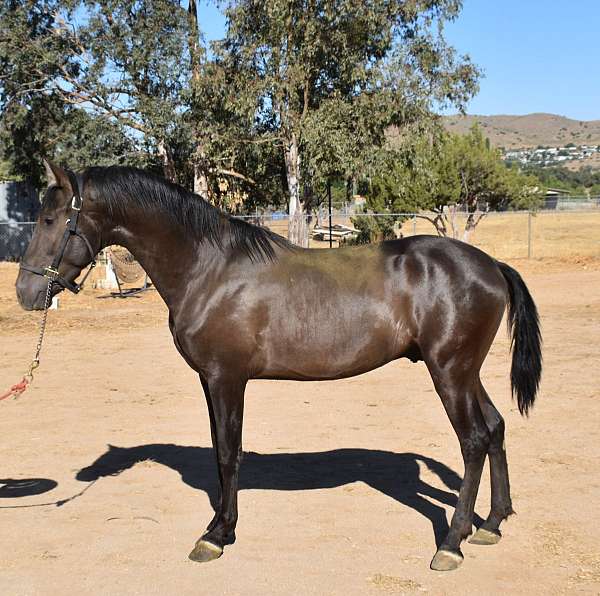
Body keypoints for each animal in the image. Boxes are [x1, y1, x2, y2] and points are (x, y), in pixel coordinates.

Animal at [15, 161, 544, 572]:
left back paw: (452, 543)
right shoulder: (210, 381)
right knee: (495, 429)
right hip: (466, 373)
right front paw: (221, 527)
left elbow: (229, 454)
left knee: (473, 441)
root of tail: (491, 265)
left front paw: (216, 536)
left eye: (50, 219)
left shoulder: (226, 379)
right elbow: (220, 451)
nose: (26, 292)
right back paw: (492, 524)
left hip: (450, 372)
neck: (209, 268)